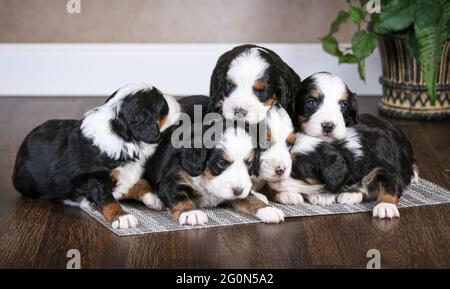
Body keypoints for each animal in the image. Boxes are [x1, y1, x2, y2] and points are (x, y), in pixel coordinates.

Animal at [12, 82, 181, 227]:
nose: (175, 98)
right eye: (163, 103)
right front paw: (122, 217)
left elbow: (139, 182)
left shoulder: (126, 174)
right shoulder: (91, 178)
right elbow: (107, 198)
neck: (120, 134)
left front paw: (154, 198)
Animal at [144, 118, 284, 224]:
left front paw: (268, 210)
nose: (238, 191)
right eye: (222, 163)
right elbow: (180, 197)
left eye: (249, 163)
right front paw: (191, 212)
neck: (207, 181)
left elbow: (250, 199)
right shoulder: (171, 181)